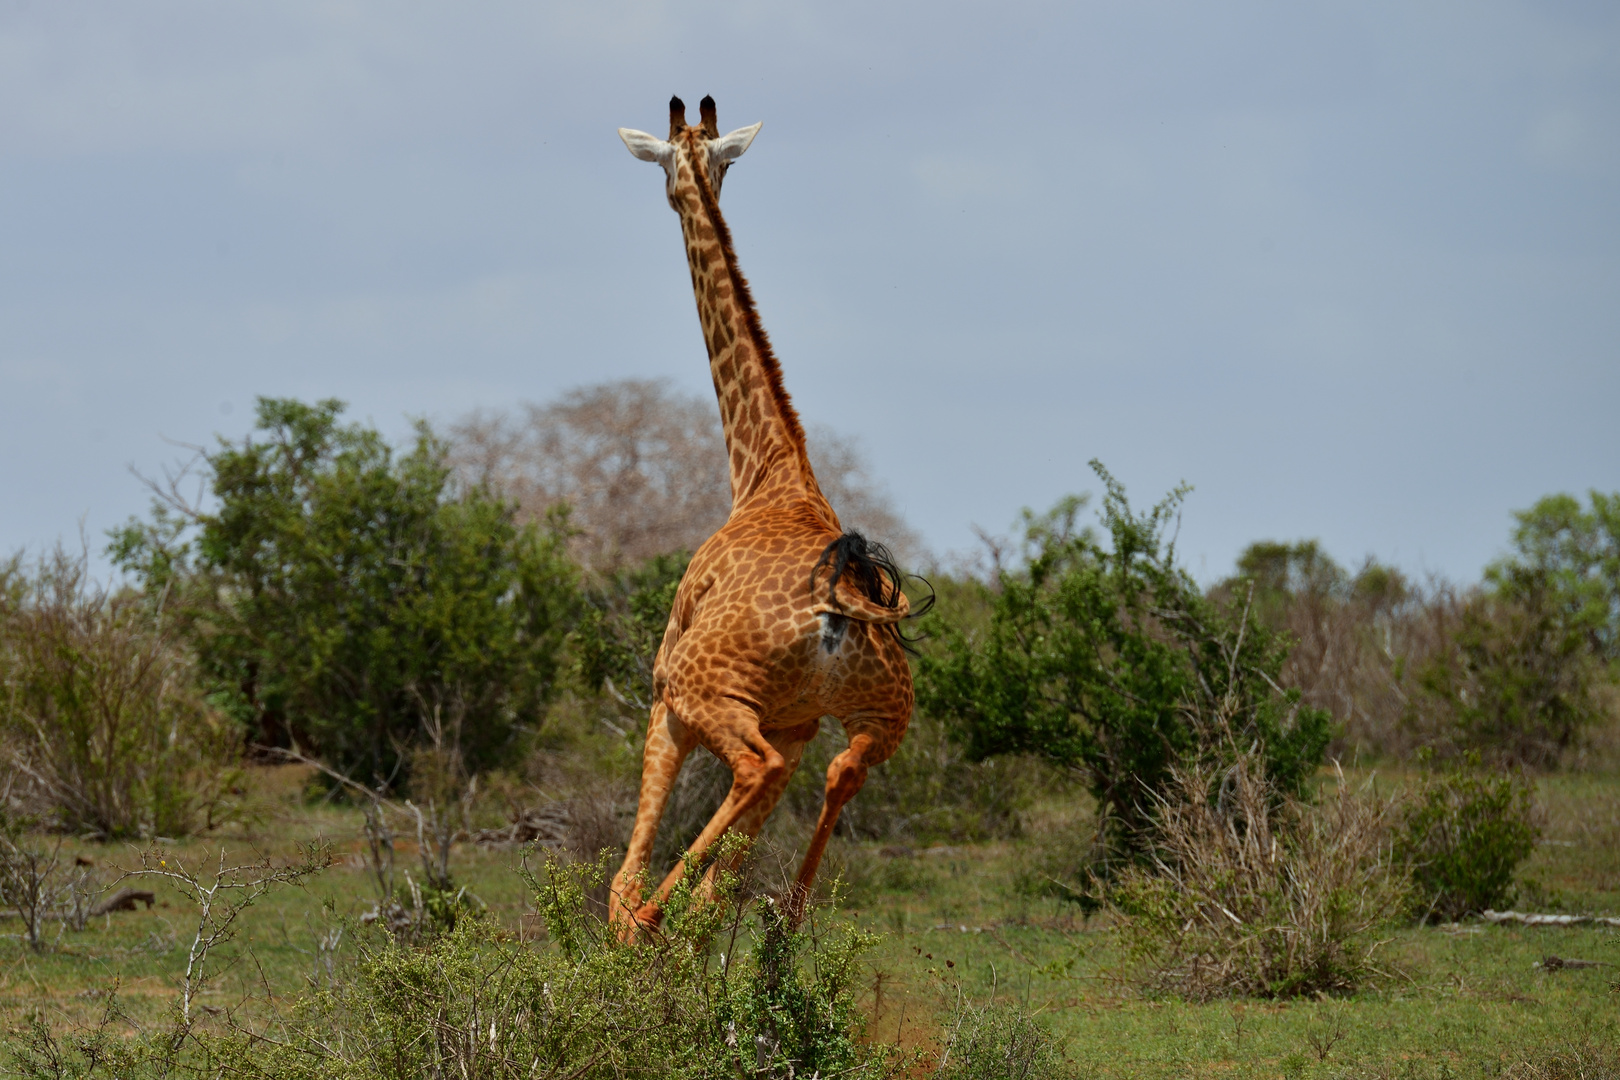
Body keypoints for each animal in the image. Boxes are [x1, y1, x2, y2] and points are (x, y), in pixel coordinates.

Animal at [609, 95, 920, 939]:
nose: (682, 194)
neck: (764, 471)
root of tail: (839, 611)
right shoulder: (794, 719)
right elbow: (720, 883)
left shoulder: (664, 696)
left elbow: (621, 878)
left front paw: (636, 928)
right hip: (879, 716)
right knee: (839, 775)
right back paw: (788, 918)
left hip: (708, 696)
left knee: (749, 776)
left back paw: (654, 916)